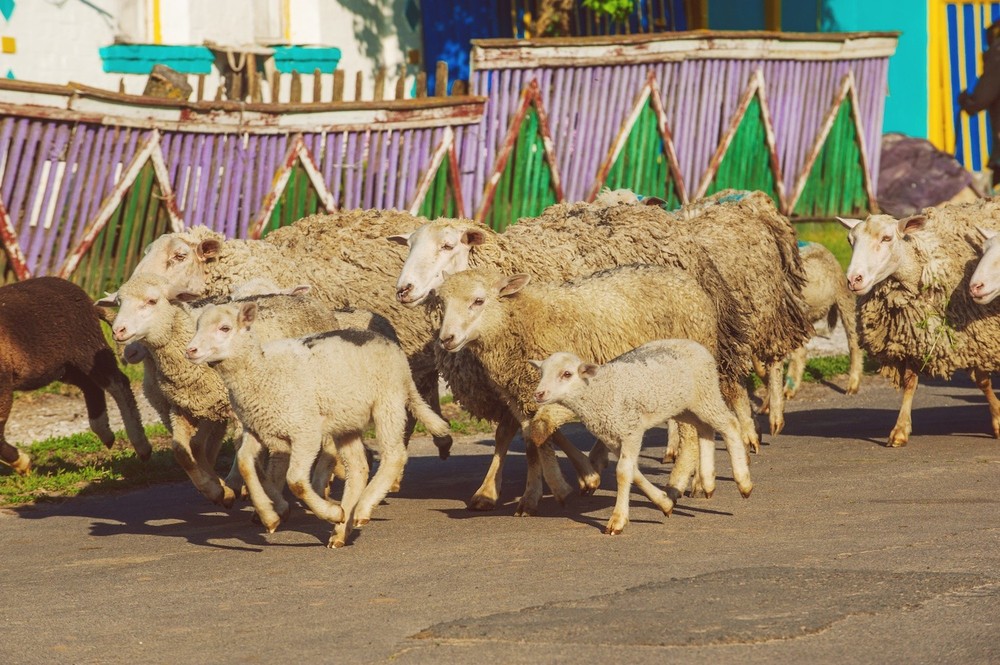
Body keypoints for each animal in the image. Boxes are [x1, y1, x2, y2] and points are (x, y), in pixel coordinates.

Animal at [0, 278, 150, 474]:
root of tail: (90, 302)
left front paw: (24, 463)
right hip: (64, 365)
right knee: (91, 386)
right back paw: (105, 433)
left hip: (87, 346)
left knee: (117, 383)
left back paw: (142, 447)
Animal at [186, 298, 452, 548]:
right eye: (197, 326)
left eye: (225, 328)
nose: (190, 350)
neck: (262, 371)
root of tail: (392, 346)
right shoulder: (259, 427)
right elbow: (245, 464)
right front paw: (271, 515)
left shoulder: (305, 430)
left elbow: (295, 481)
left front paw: (329, 512)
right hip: (346, 421)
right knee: (358, 468)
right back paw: (341, 530)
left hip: (388, 402)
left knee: (394, 455)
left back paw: (361, 510)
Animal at [434, 264, 748, 512]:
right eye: (442, 302)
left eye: (478, 300)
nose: (446, 339)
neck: (521, 322)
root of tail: (688, 280)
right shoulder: (521, 397)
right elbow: (533, 441)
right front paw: (532, 496)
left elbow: (541, 433)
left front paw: (568, 484)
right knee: (698, 425)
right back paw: (703, 481)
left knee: (691, 431)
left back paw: (679, 483)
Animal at [532, 340, 752, 536]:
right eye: (541, 373)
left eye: (567, 374)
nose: (539, 394)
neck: (598, 392)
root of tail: (695, 344)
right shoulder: (612, 437)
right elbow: (633, 472)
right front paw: (665, 503)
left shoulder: (631, 430)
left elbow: (623, 472)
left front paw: (617, 520)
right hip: (684, 407)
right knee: (705, 428)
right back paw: (707, 481)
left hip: (705, 394)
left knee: (730, 424)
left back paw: (743, 482)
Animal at [840, 198, 1000, 446]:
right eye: (850, 241)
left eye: (887, 238)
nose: (853, 280)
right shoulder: (913, 339)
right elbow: (910, 382)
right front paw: (900, 431)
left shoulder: (979, 337)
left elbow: (982, 381)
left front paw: (998, 422)